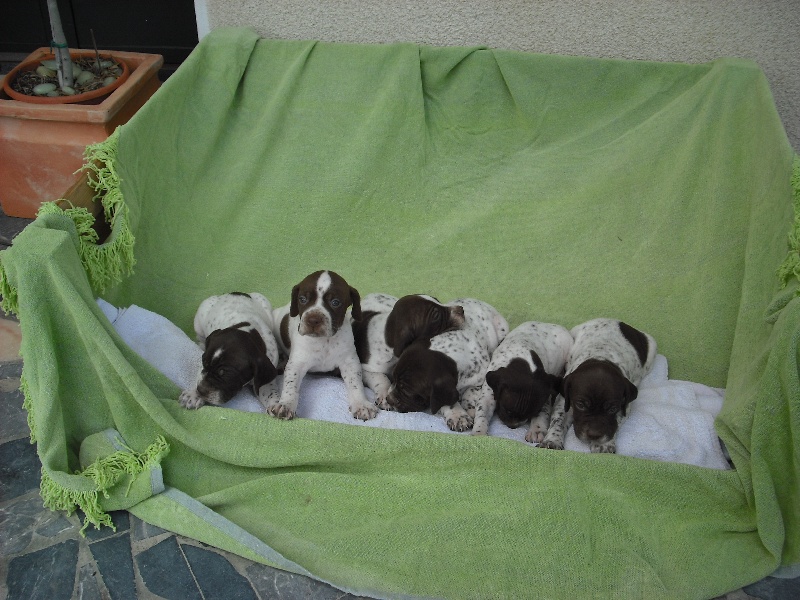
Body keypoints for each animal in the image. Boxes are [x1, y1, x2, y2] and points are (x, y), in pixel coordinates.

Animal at [266, 272, 378, 422]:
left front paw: (361, 404)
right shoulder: (297, 363)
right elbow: (291, 384)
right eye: (302, 299)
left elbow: (355, 383)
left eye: (335, 302)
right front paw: (286, 404)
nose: (313, 320)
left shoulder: (349, 362)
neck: (324, 341)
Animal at [386, 298, 510, 432]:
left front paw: (469, 407)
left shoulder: (481, 378)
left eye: (407, 391)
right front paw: (457, 415)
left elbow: (470, 390)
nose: (388, 399)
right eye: (393, 378)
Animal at [536, 316, 656, 452]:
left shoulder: (624, 406)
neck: (600, 357)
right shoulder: (564, 400)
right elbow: (558, 420)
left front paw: (604, 444)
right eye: (580, 405)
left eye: (612, 409)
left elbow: (615, 422)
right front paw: (552, 440)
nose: (594, 435)